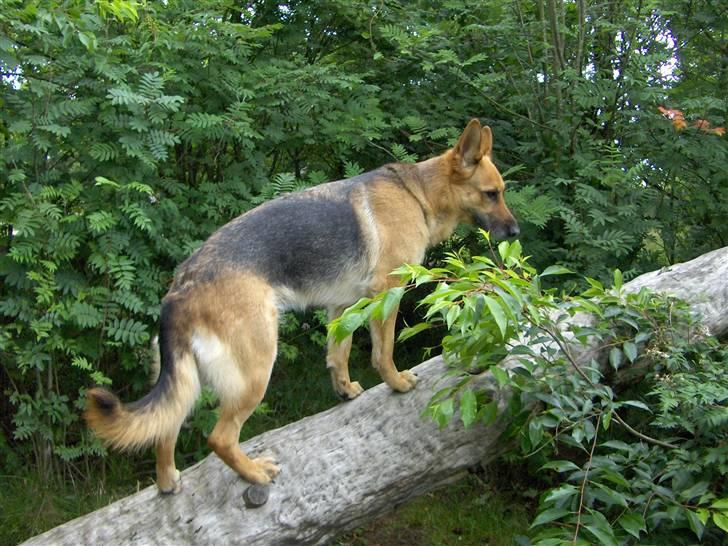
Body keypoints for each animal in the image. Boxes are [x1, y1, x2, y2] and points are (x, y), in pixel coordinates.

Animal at [84, 117, 516, 490]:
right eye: (491, 194)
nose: (515, 232)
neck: (418, 194)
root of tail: (179, 290)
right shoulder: (386, 294)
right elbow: (383, 352)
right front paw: (396, 383)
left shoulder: (342, 308)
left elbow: (339, 354)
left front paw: (345, 390)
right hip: (256, 370)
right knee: (219, 438)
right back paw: (254, 473)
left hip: (187, 382)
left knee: (165, 429)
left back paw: (168, 481)